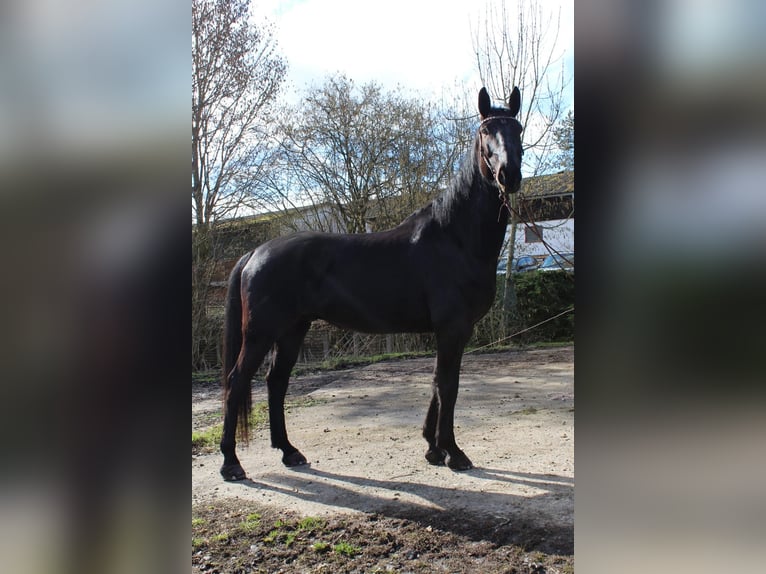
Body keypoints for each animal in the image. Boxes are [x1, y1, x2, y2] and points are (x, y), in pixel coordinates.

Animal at [219, 86, 523, 481]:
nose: (508, 174)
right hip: (261, 333)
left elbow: (437, 384)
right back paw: (231, 463)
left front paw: (432, 449)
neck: (454, 238)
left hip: (292, 330)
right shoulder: (452, 328)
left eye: (517, 128)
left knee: (276, 382)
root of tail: (254, 253)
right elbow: (448, 386)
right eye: (486, 131)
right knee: (237, 382)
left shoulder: (450, 332)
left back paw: (289, 451)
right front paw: (453, 453)